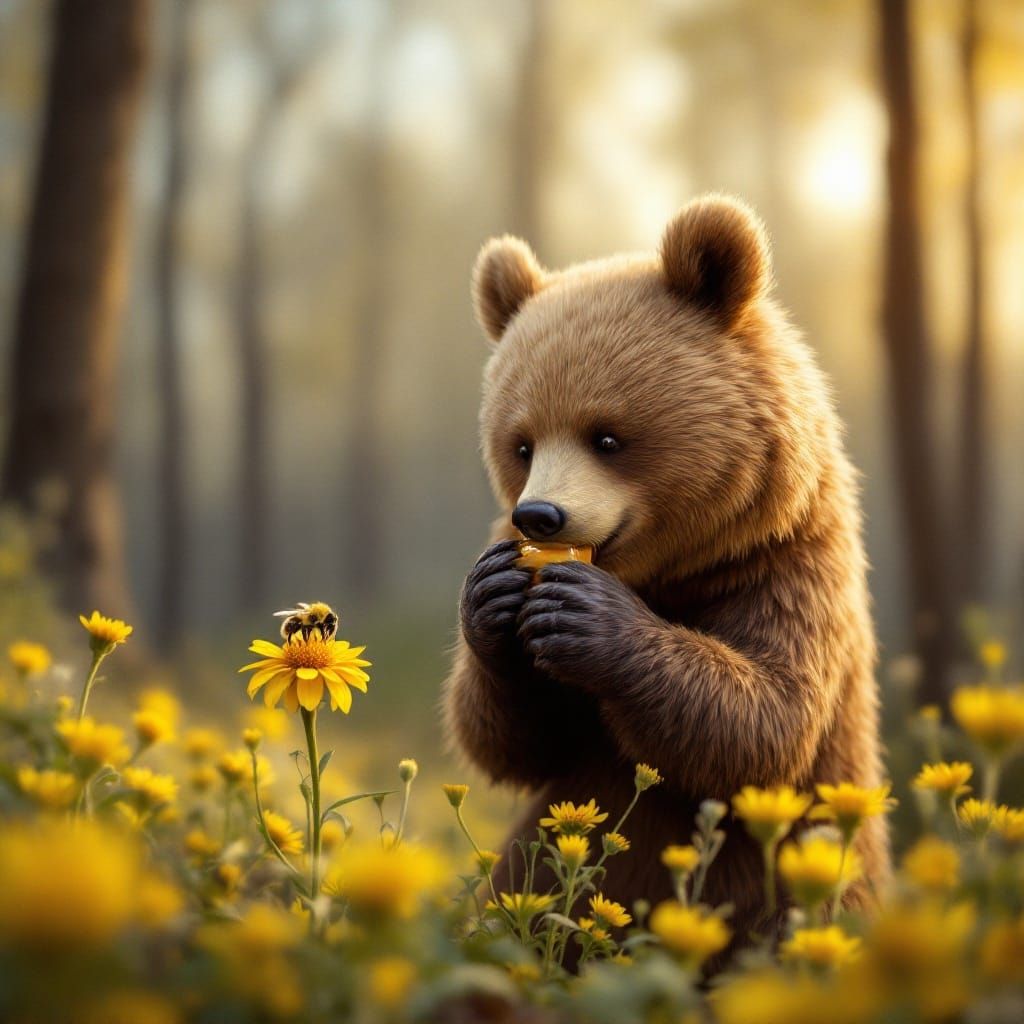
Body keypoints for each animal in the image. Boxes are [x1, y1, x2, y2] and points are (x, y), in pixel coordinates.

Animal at [442, 194, 889, 961]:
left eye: (607, 437)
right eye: (521, 443)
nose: (539, 516)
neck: (670, 571)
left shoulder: (785, 567)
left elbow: (766, 720)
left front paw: (592, 616)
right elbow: (515, 739)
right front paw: (493, 596)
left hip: (805, 878)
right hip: (531, 864)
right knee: (518, 902)